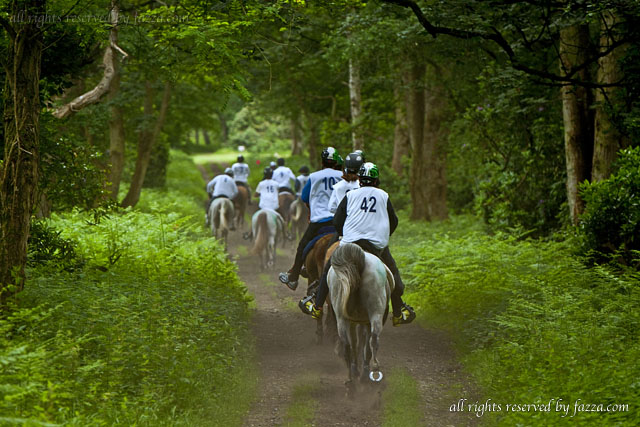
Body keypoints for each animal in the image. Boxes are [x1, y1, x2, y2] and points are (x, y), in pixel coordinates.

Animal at [330, 242, 396, 396]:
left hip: (342, 317)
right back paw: (370, 372)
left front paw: (356, 369)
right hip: (376, 312)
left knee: (346, 345)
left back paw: (351, 381)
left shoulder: (354, 321)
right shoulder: (365, 321)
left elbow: (356, 343)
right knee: (373, 339)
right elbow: (363, 343)